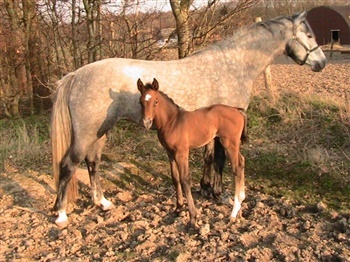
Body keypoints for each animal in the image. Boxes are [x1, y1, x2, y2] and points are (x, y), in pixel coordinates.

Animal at [51, 11, 326, 226]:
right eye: (309, 35)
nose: (322, 63)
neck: (232, 64)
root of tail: (76, 75)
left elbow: (209, 158)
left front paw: (206, 189)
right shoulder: (223, 131)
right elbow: (219, 160)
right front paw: (218, 193)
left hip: (100, 132)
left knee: (93, 163)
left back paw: (102, 202)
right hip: (87, 133)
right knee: (69, 165)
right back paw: (61, 214)